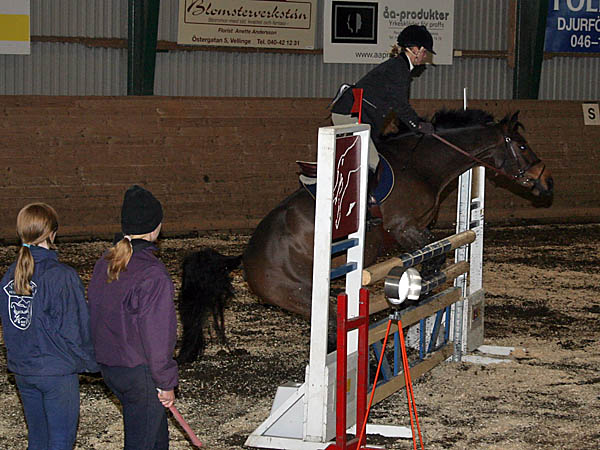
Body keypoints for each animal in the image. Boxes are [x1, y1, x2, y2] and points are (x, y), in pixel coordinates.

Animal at [176, 109, 554, 363]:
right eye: (522, 145)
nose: (547, 184)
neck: (424, 166)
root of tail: (244, 257)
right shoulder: (403, 228)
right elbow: (433, 254)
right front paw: (419, 289)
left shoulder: (418, 228)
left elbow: (438, 253)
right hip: (299, 294)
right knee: (332, 325)